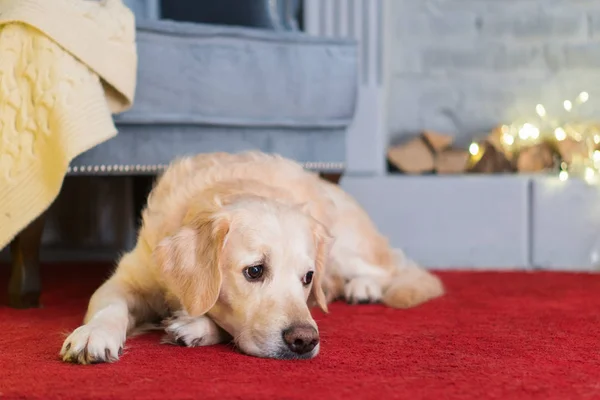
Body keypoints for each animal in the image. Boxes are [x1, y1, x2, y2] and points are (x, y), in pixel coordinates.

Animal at [61, 152, 442, 364]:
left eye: (307, 277)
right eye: (255, 271)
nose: (305, 341)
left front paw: (195, 327)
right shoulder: (127, 278)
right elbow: (111, 307)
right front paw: (94, 334)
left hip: (348, 248)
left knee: (393, 268)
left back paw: (364, 288)